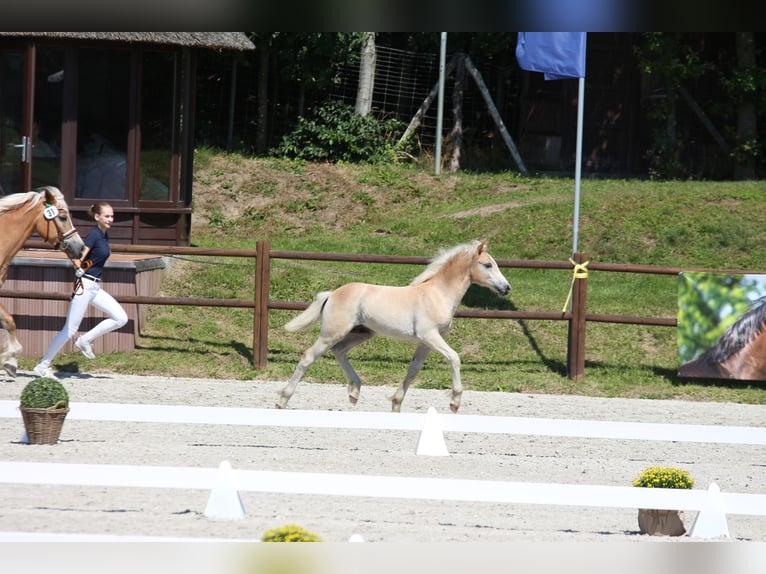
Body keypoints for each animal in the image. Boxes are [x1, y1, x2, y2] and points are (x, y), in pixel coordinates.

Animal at [0, 187, 85, 380]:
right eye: (63, 217)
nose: (81, 247)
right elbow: (9, 321)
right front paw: (10, 359)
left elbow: (9, 321)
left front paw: (10, 362)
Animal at [280, 241, 512, 416]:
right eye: (487, 265)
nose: (507, 288)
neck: (437, 294)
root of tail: (332, 293)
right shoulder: (430, 336)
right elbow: (454, 358)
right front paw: (455, 402)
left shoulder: (426, 342)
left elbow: (413, 369)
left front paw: (396, 403)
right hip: (331, 333)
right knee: (309, 357)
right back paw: (282, 400)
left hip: (361, 333)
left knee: (339, 351)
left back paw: (354, 392)